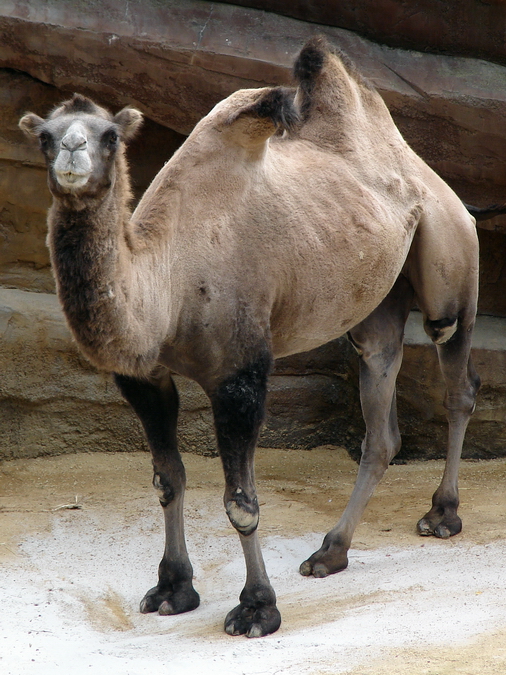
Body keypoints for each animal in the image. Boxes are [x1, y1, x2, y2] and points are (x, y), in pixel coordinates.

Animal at [19, 37, 480, 638]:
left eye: (109, 135)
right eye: (46, 135)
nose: (72, 152)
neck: (167, 281)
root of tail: (430, 176)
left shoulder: (239, 374)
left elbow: (242, 502)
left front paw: (257, 607)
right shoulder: (146, 378)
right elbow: (168, 479)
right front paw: (172, 589)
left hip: (451, 255)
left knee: (457, 377)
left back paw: (442, 514)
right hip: (377, 301)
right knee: (381, 414)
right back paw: (330, 552)